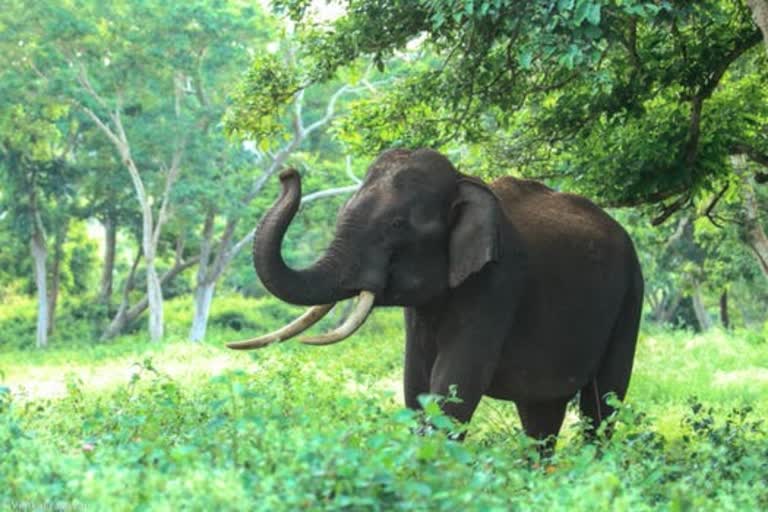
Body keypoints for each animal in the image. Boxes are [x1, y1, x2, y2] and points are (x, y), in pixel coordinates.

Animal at [231, 148, 644, 452]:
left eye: (396, 225)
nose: (287, 173)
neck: (463, 180)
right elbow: (416, 384)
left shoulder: (497, 282)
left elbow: (454, 384)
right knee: (541, 414)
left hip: (631, 295)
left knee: (602, 402)